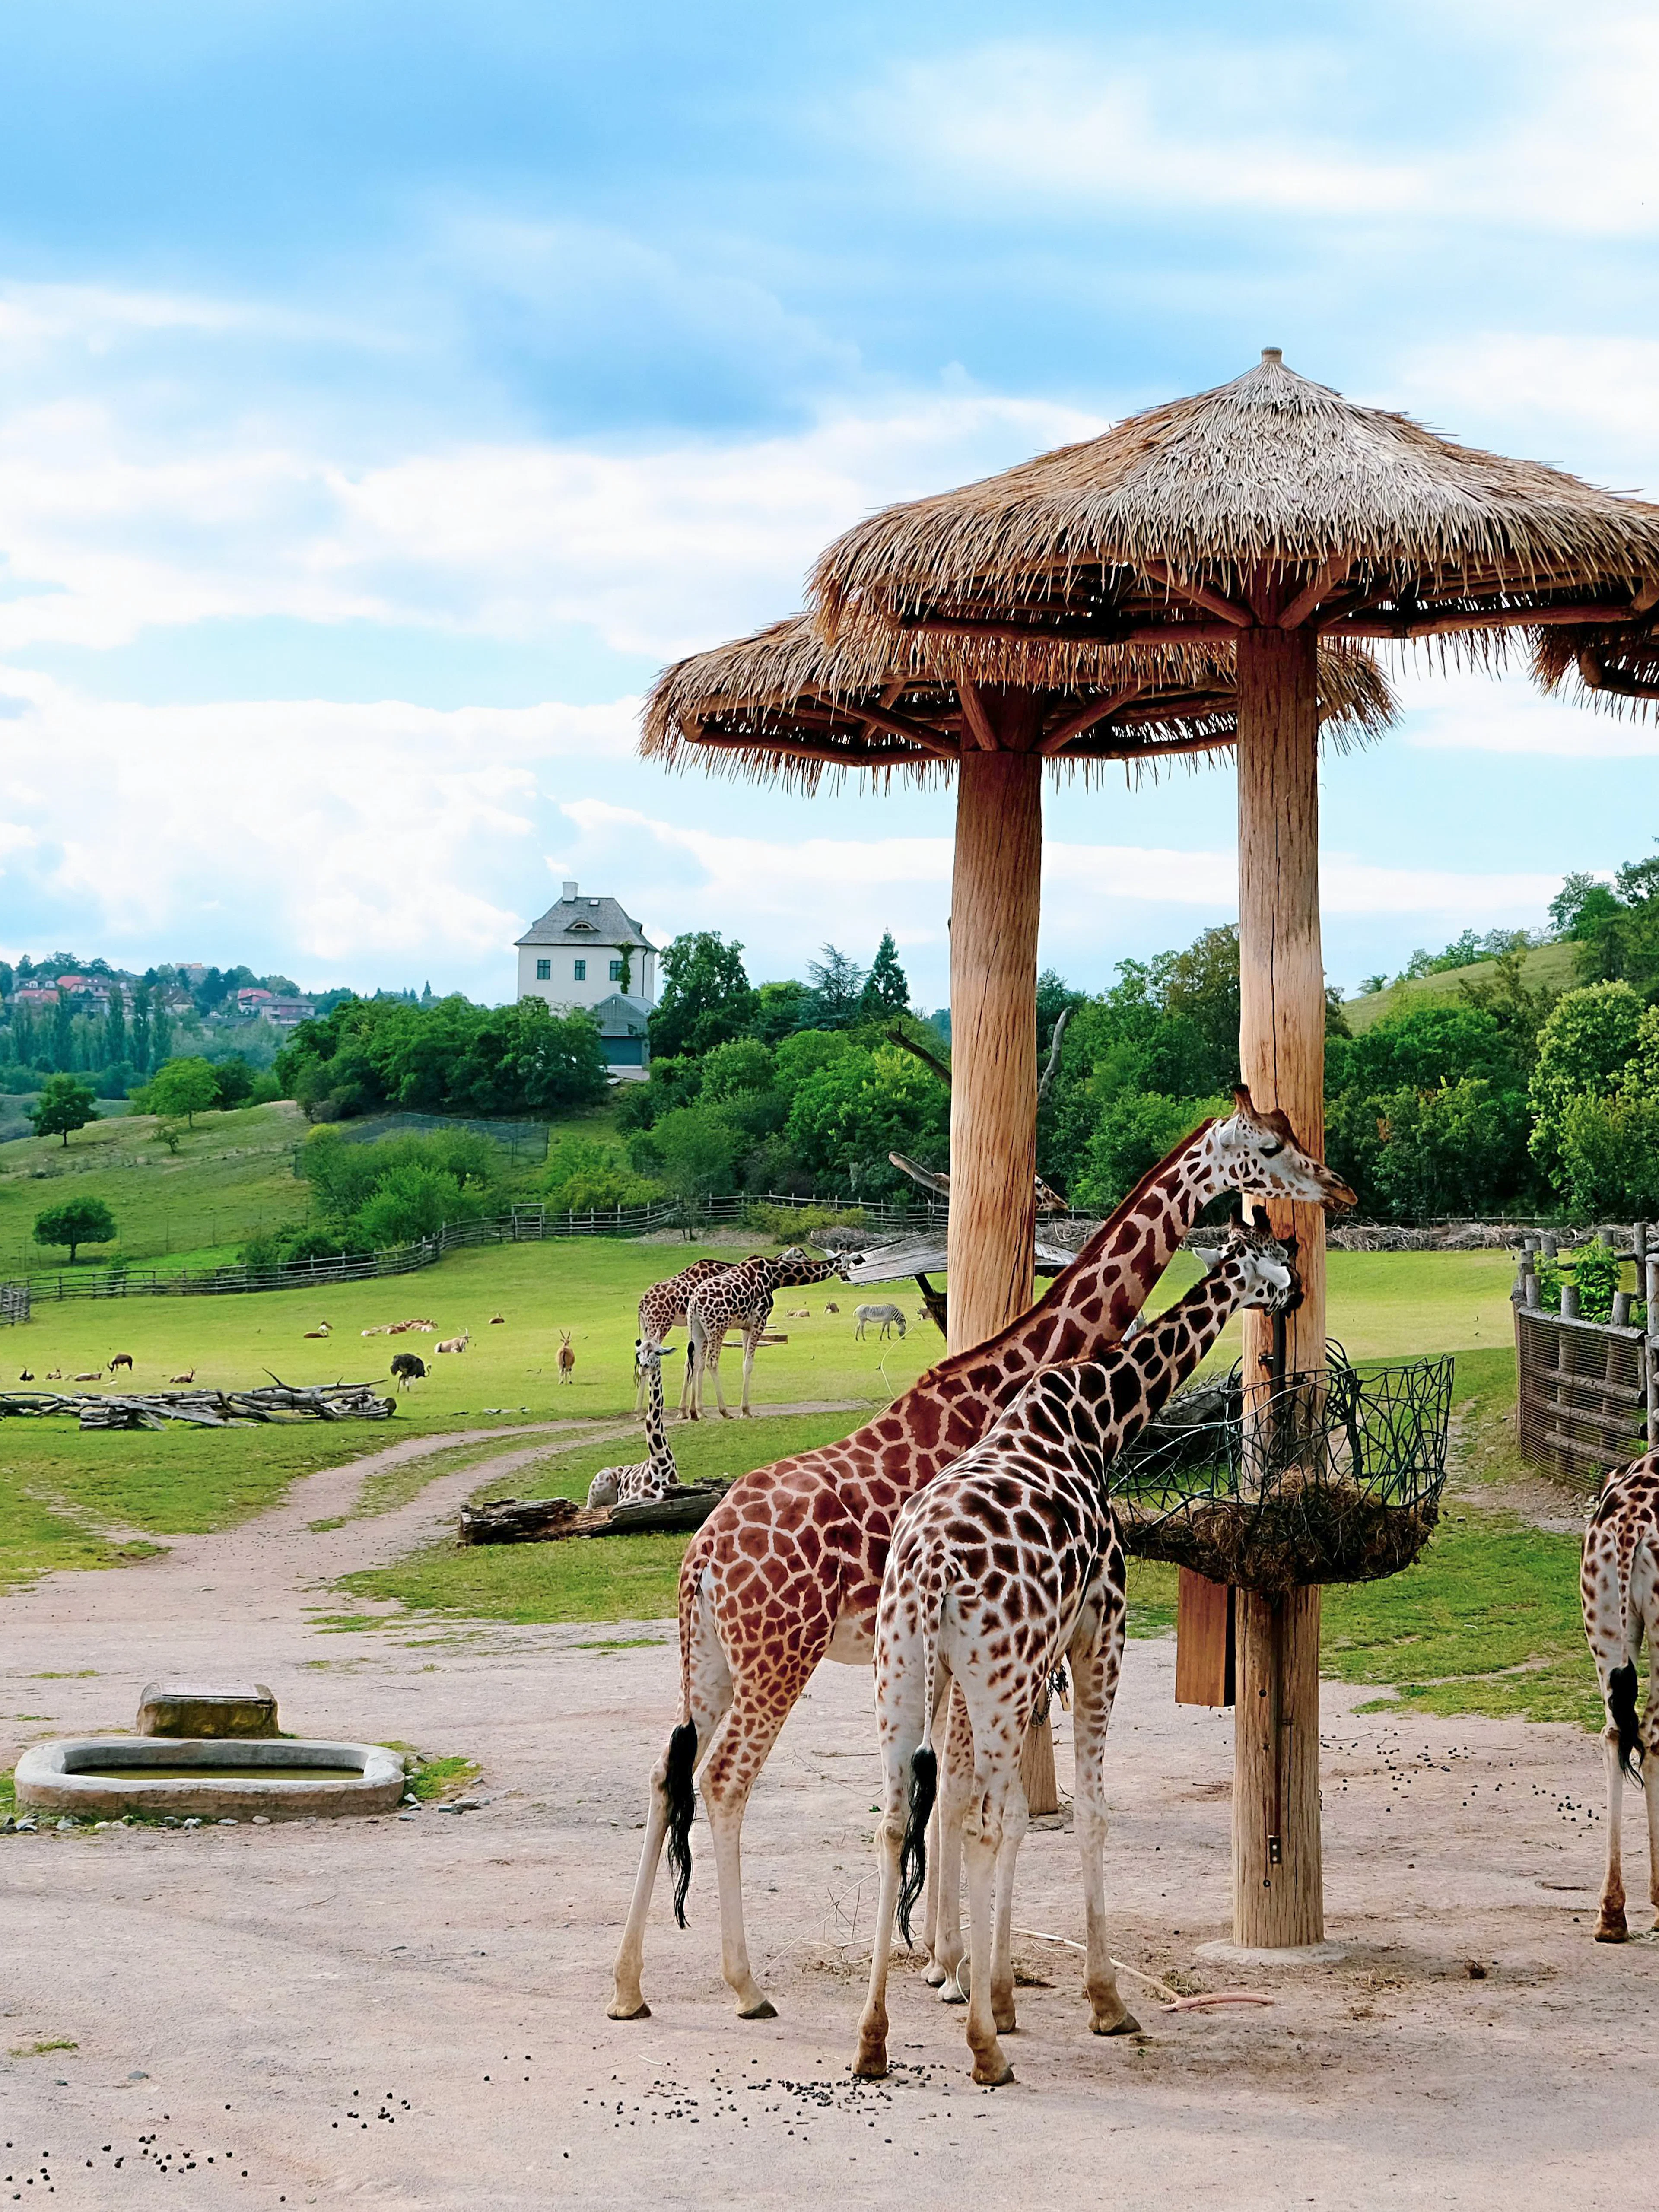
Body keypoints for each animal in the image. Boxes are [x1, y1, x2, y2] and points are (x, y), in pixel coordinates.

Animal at [587, 1341, 683, 1509]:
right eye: (639, 1353)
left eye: (658, 1353)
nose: (643, 1367)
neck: (659, 1466)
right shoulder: (625, 1502)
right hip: (598, 1487)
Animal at [683, 1249, 846, 1420]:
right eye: (800, 1256)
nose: (811, 1260)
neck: (774, 1277)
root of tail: (694, 1302)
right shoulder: (759, 1320)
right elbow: (749, 1365)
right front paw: (746, 1410)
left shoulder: (745, 1327)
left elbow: (744, 1363)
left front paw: (744, 1410)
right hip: (717, 1327)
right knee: (711, 1363)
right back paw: (724, 1411)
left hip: (696, 1329)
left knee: (695, 1363)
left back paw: (695, 1412)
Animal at [855, 1228, 1298, 2086]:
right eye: (1270, 1256)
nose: (1294, 1292)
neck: (1100, 1416)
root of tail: (930, 1567)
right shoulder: (1100, 1630)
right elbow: (1085, 1813)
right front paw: (1101, 2002)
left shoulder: (1031, 1657)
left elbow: (1006, 1814)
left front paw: (994, 1989)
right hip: (997, 1670)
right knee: (979, 1818)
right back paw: (984, 2052)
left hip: (911, 1670)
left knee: (899, 1819)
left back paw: (872, 2041)